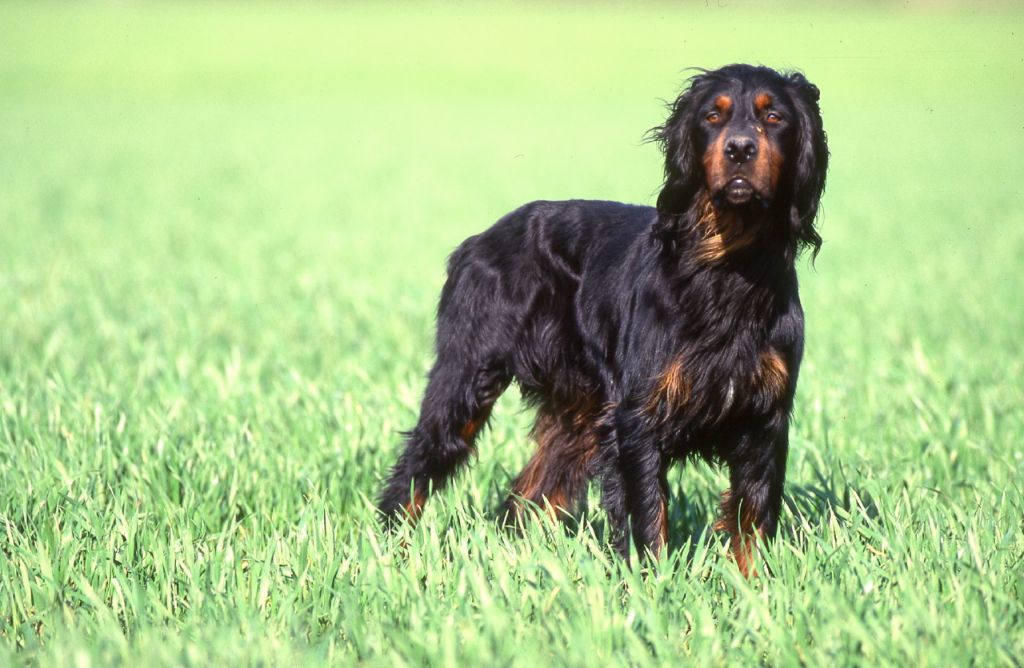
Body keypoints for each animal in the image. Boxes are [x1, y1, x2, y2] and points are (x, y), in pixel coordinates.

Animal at [380, 64, 827, 573]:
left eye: (774, 116)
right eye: (713, 116)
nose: (739, 149)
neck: (725, 264)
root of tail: (478, 241)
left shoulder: (764, 418)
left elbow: (752, 518)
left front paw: (753, 585)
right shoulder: (637, 417)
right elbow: (648, 517)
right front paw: (654, 583)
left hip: (580, 413)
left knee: (528, 493)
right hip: (467, 377)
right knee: (418, 466)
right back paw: (391, 546)